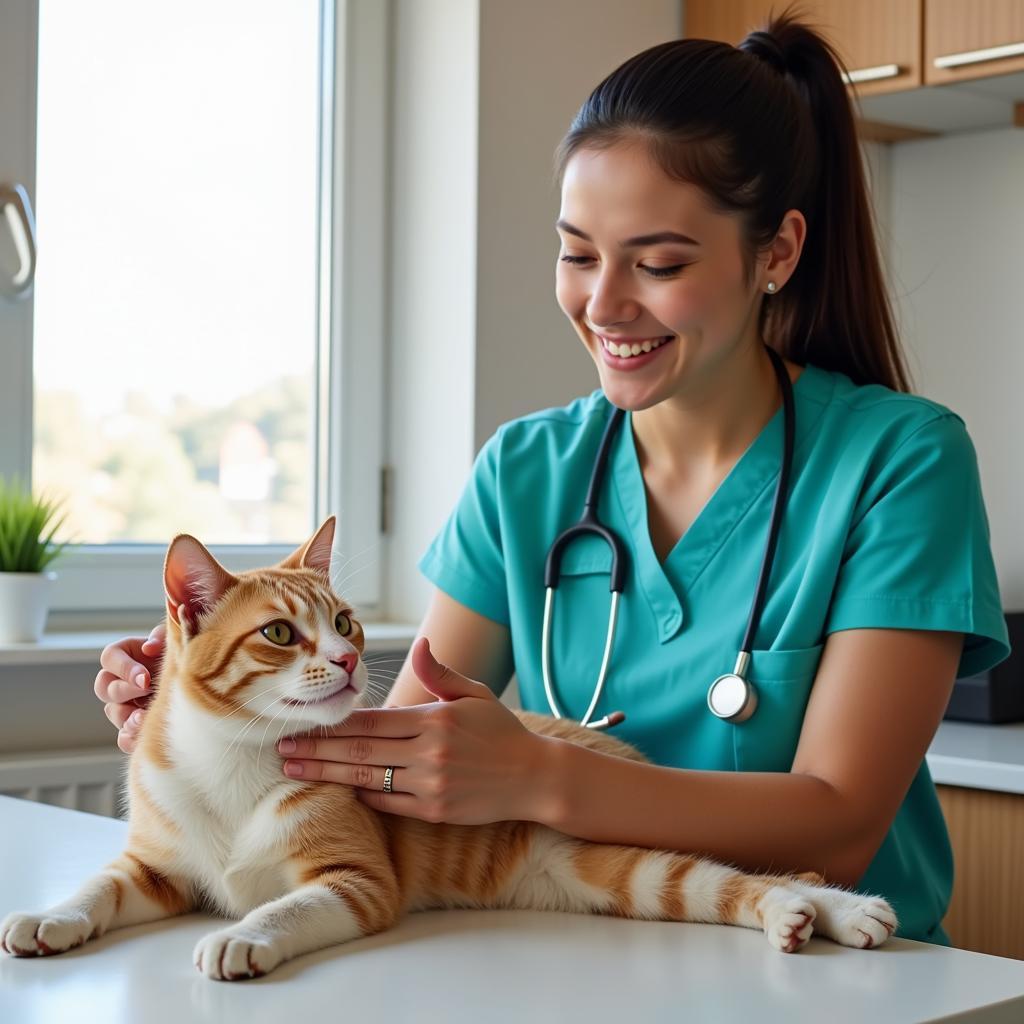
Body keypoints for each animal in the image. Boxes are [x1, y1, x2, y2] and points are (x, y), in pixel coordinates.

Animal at [0, 520, 897, 974]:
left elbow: (285, 905)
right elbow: (95, 887)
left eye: (347, 621)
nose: (351, 658)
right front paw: (48, 918)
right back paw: (810, 918)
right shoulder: (152, 866)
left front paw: (241, 935)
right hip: (609, 878)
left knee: (744, 874)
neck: (237, 757)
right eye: (282, 633)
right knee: (723, 884)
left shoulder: (357, 882)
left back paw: (836, 911)